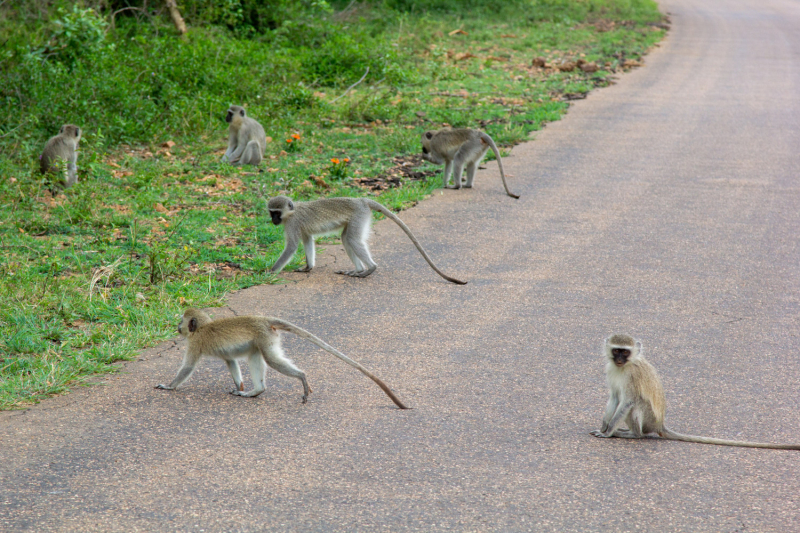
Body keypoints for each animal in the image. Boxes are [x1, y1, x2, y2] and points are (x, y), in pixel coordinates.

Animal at [157, 308, 410, 408]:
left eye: (181, 322)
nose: (177, 327)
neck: (202, 327)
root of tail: (262, 319)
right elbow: (231, 362)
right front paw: (239, 386)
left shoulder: (195, 343)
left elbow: (188, 367)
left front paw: (168, 386)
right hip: (262, 339)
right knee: (256, 357)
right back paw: (255, 391)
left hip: (265, 338)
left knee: (270, 360)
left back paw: (302, 378)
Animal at [268, 195, 468, 284]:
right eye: (271, 212)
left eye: (277, 213)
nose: (273, 220)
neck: (292, 212)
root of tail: (362, 200)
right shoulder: (301, 229)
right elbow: (308, 240)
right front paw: (308, 267)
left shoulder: (292, 224)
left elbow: (292, 246)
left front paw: (271, 271)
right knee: (346, 239)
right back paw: (358, 270)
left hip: (359, 216)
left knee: (352, 240)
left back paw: (370, 269)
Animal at [588, 334, 800, 446]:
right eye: (616, 350)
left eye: (625, 352)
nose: (619, 359)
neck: (624, 367)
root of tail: (660, 425)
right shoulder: (612, 371)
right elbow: (614, 398)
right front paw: (604, 426)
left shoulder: (633, 377)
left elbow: (628, 401)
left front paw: (608, 432)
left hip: (649, 420)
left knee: (637, 408)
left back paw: (633, 434)